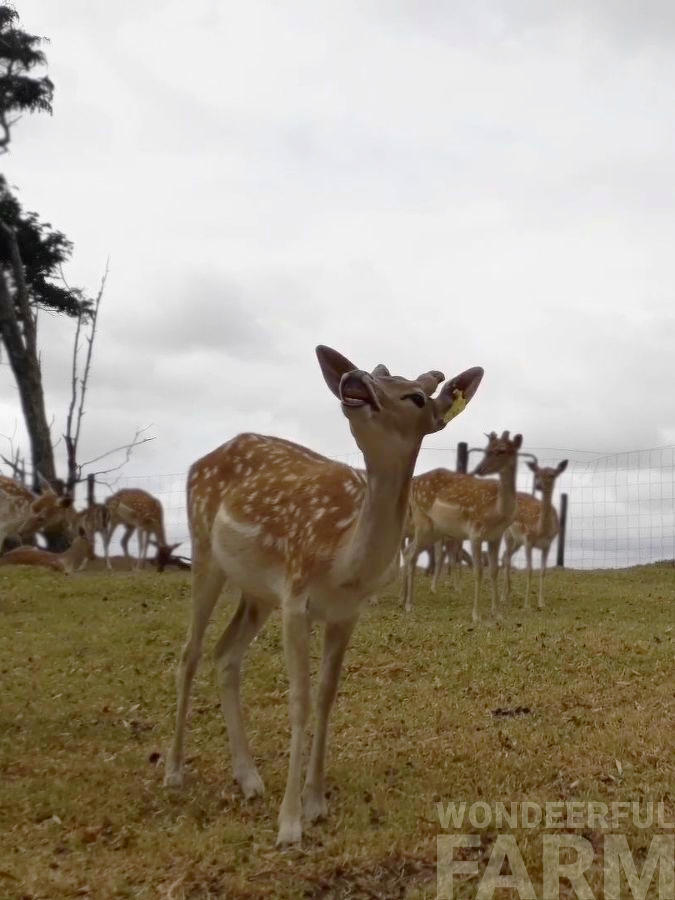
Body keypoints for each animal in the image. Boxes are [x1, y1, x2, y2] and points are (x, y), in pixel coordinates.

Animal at [162, 342, 480, 844]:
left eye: (415, 396)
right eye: (375, 371)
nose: (354, 377)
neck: (344, 565)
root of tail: (200, 461)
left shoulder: (346, 612)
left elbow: (328, 695)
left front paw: (315, 803)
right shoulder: (296, 596)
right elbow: (300, 701)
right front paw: (290, 824)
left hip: (257, 592)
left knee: (225, 654)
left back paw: (248, 777)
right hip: (203, 549)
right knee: (190, 652)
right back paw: (174, 771)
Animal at [406, 432, 524, 624]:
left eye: (501, 450)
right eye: (486, 449)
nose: (479, 468)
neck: (497, 511)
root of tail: (413, 483)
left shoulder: (496, 536)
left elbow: (494, 571)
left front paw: (498, 613)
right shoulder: (475, 532)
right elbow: (478, 571)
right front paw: (476, 615)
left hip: (434, 531)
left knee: (409, 550)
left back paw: (406, 600)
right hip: (421, 521)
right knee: (411, 555)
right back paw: (409, 605)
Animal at [504, 458, 568, 612]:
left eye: (552, 475)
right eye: (537, 474)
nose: (538, 486)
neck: (540, 530)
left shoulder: (548, 544)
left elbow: (543, 571)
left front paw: (541, 603)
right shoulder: (528, 540)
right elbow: (529, 570)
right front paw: (526, 605)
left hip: (517, 542)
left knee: (505, 556)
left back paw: (508, 592)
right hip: (508, 535)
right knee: (506, 558)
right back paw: (504, 596)